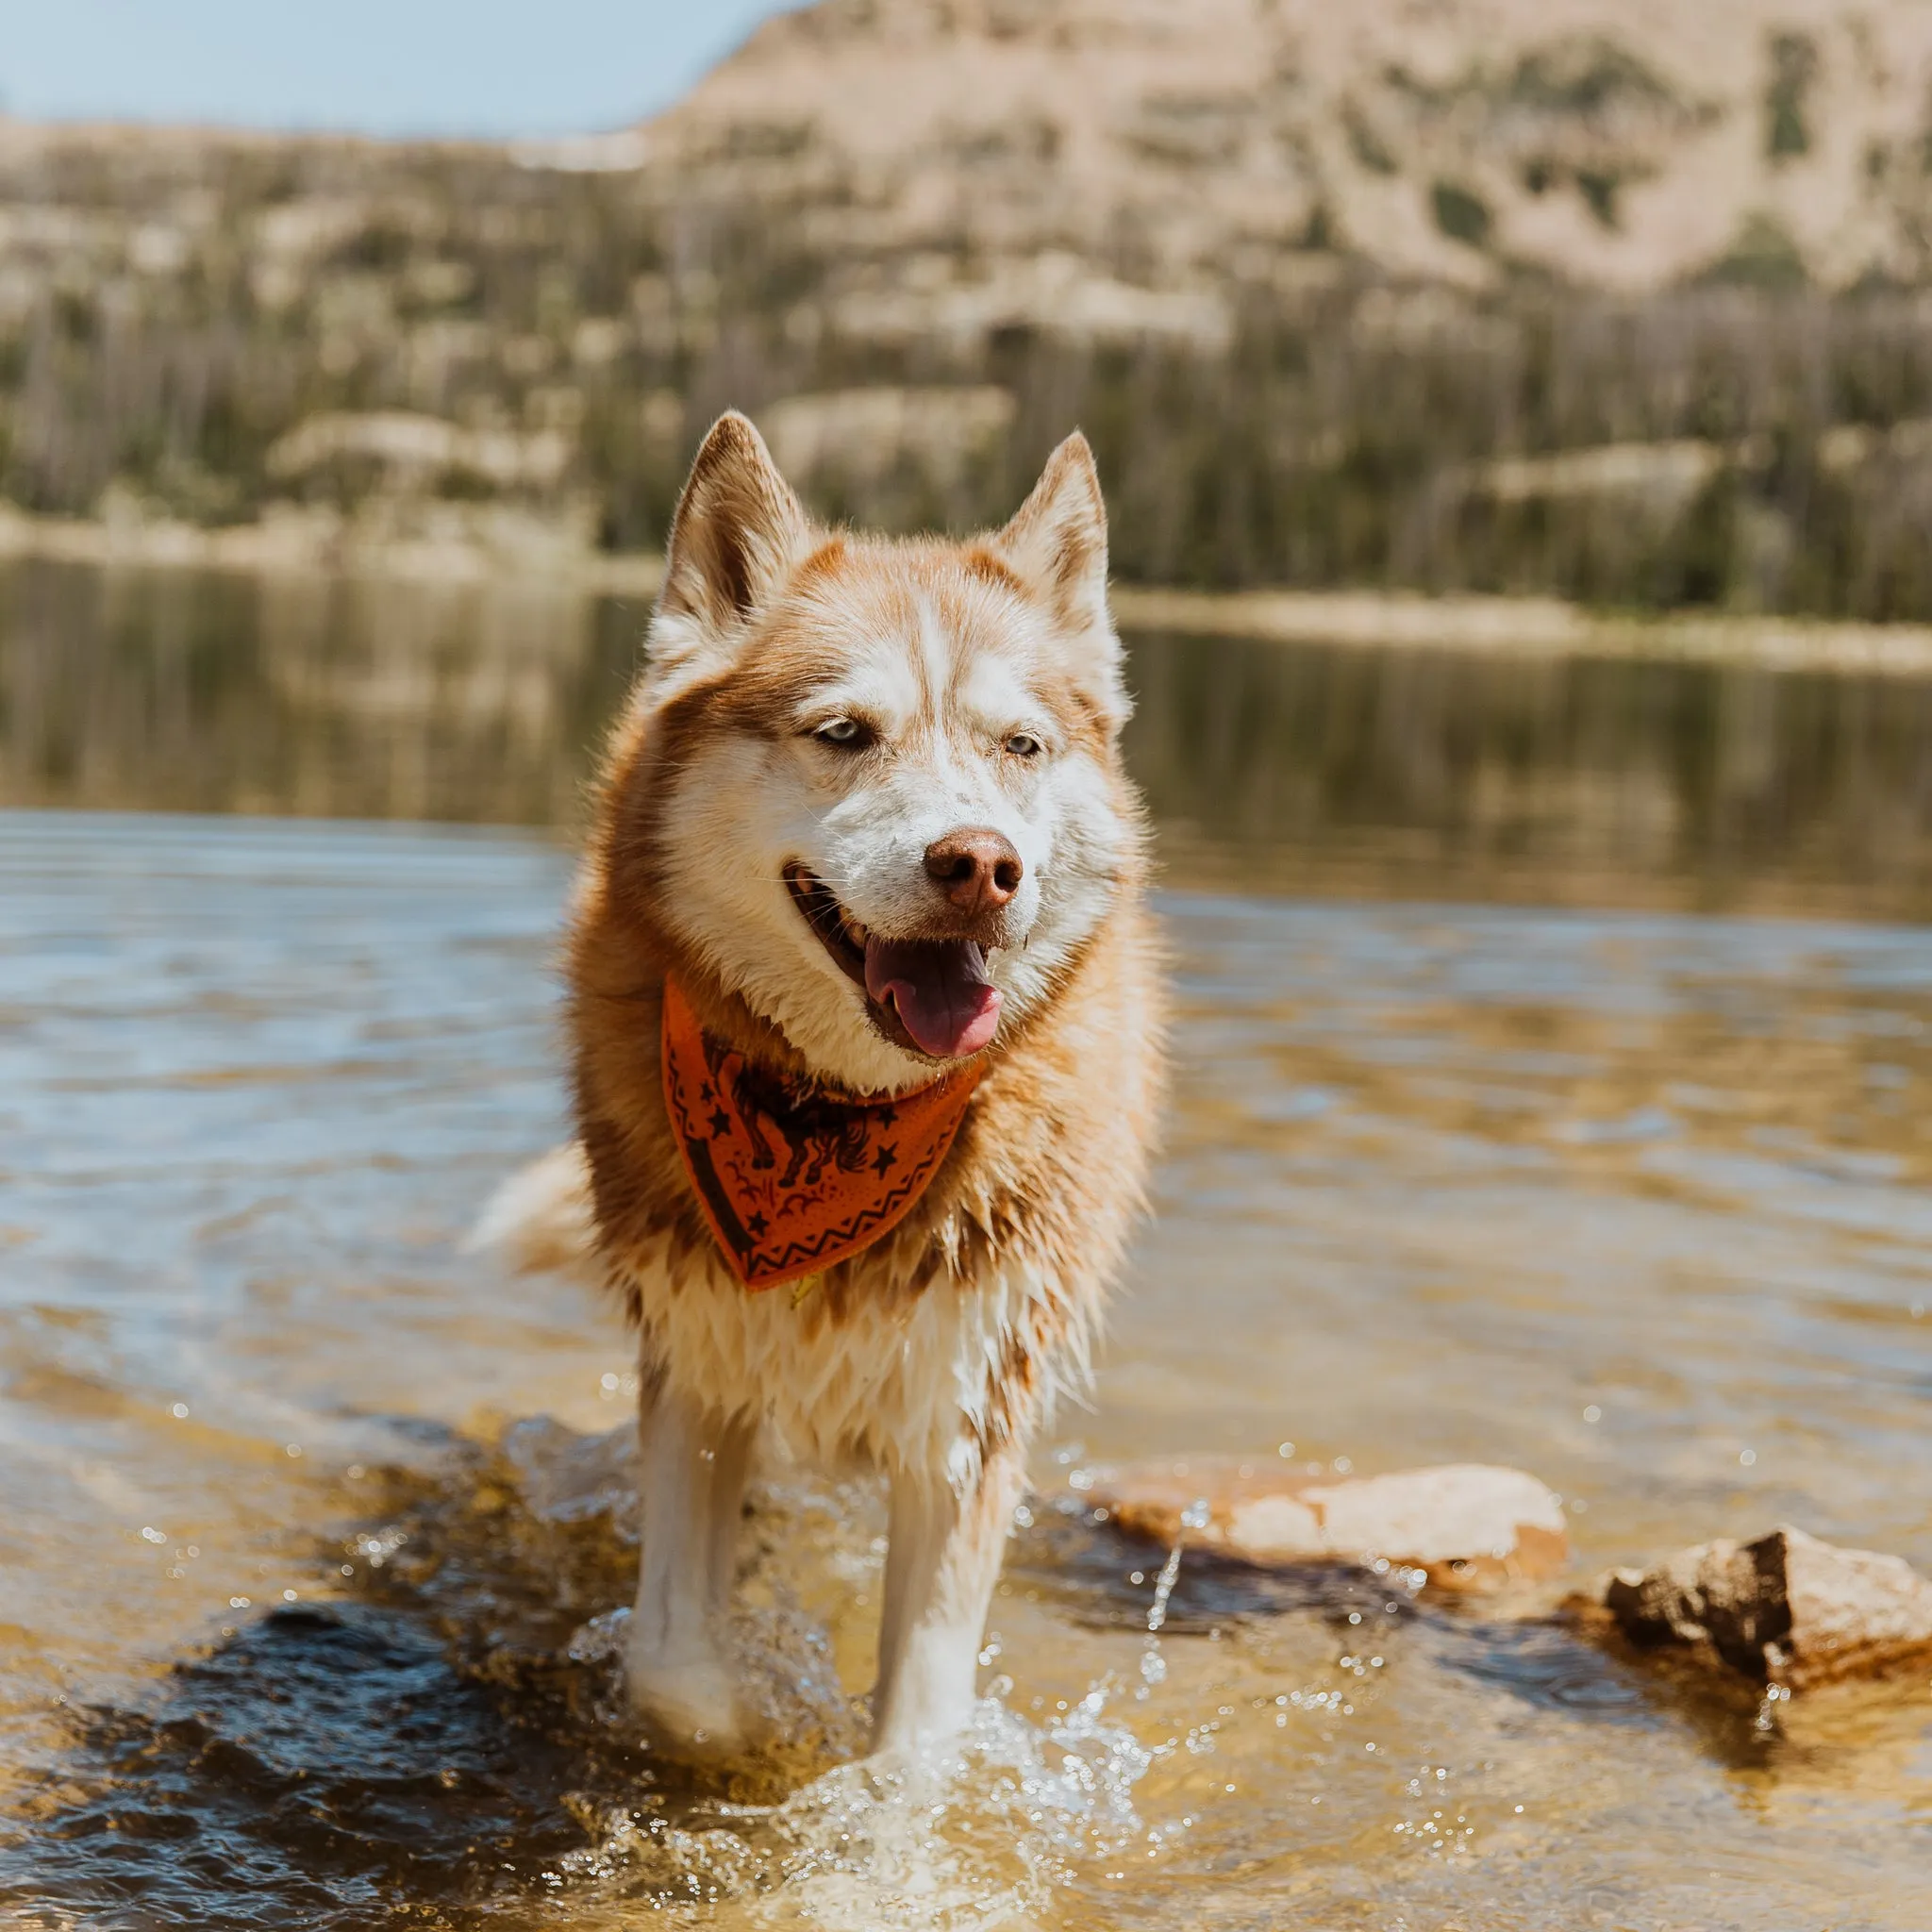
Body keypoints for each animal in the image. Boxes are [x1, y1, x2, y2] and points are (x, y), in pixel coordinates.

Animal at [480, 415, 1158, 1761]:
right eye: (843, 732)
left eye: (1020, 746)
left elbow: (915, 1742)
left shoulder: (961, 1419)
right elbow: (671, 1665)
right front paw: (748, 1740)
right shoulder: (695, 1367)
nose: (980, 865)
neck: (833, 1120)